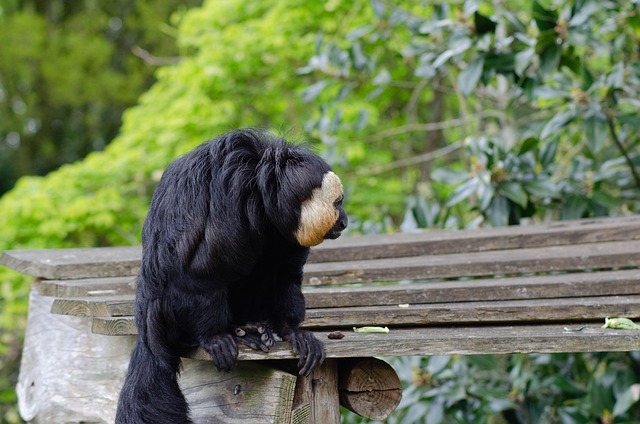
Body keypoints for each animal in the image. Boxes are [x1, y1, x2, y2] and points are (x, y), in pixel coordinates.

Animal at [115, 129, 348, 424]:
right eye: (338, 203)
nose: (344, 221)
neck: (262, 189)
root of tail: (148, 330)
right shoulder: (232, 197)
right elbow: (203, 271)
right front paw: (215, 336)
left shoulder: (282, 230)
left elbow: (283, 274)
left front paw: (292, 331)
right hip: (167, 316)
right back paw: (233, 332)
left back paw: (249, 327)